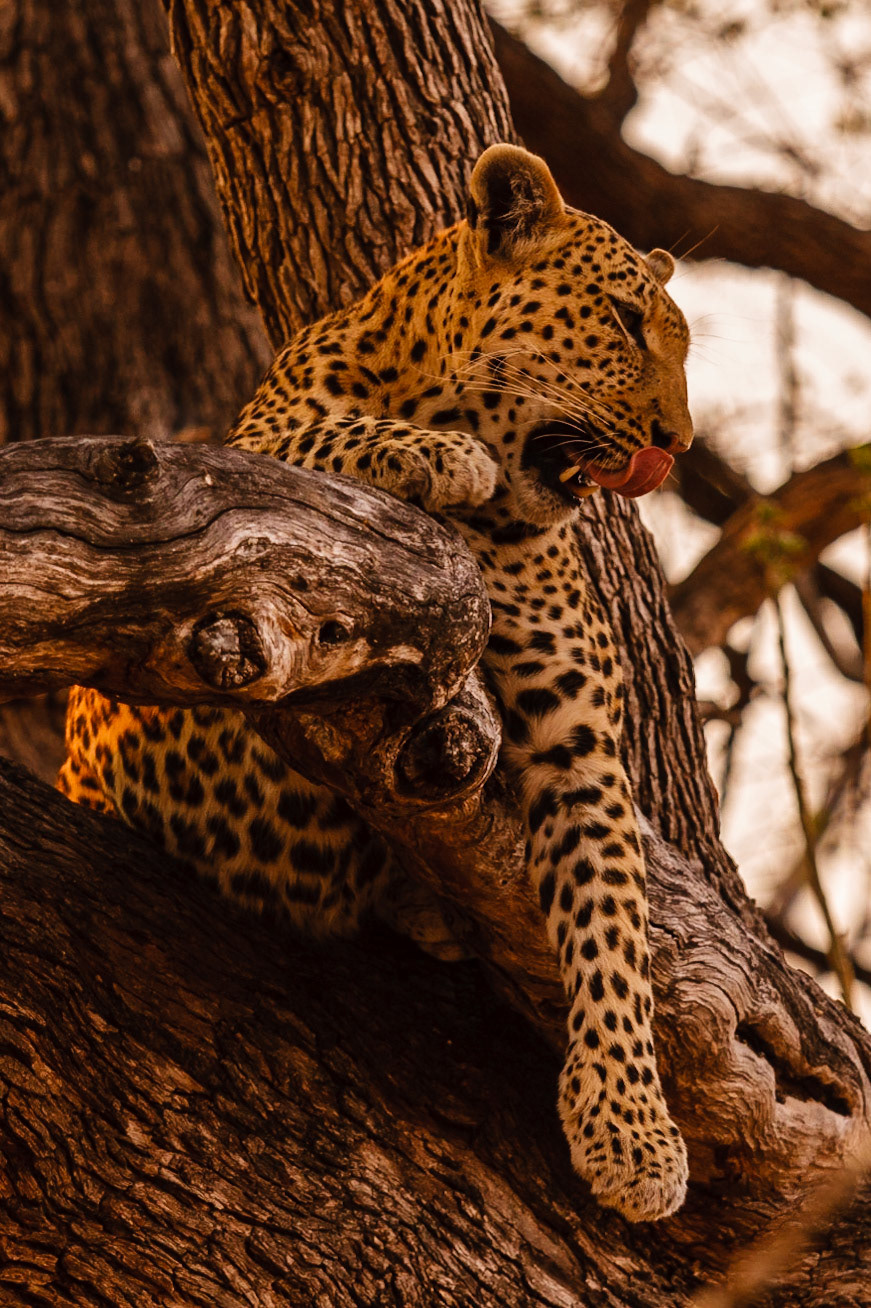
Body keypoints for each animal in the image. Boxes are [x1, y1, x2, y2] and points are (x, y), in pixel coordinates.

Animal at [59, 144, 694, 1222]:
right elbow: (310, 451)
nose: (678, 442)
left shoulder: (578, 749)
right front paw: (437, 456)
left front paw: (629, 1130)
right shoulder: (215, 543)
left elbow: (613, 928)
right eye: (621, 319)